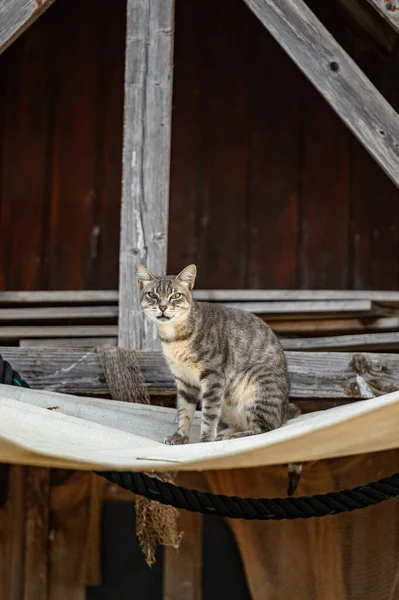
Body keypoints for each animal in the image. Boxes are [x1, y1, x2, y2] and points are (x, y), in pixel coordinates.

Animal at [136, 264, 302, 494]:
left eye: (175, 296)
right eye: (152, 295)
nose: (162, 307)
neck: (174, 339)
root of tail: (284, 408)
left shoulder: (213, 377)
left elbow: (208, 415)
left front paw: (205, 441)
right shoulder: (184, 381)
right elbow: (184, 412)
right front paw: (180, 437)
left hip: (257, 388)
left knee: (266, 428)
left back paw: (232, 435)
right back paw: (226, 433)